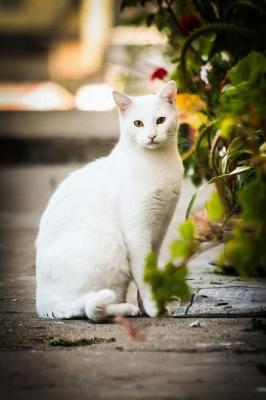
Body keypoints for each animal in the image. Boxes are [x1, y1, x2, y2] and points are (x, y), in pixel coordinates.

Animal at [35, 81, 183, 322]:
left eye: (161, 120)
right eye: (138, 123)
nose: (152, 136)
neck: (158, 164)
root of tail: (43, 301)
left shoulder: (159, 227)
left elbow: (150, 269)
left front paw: (148, 307)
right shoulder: (137, 231)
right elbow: (143, 273)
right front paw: (153, 309)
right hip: (110, 246)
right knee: (90, 309)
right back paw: (127, 309)